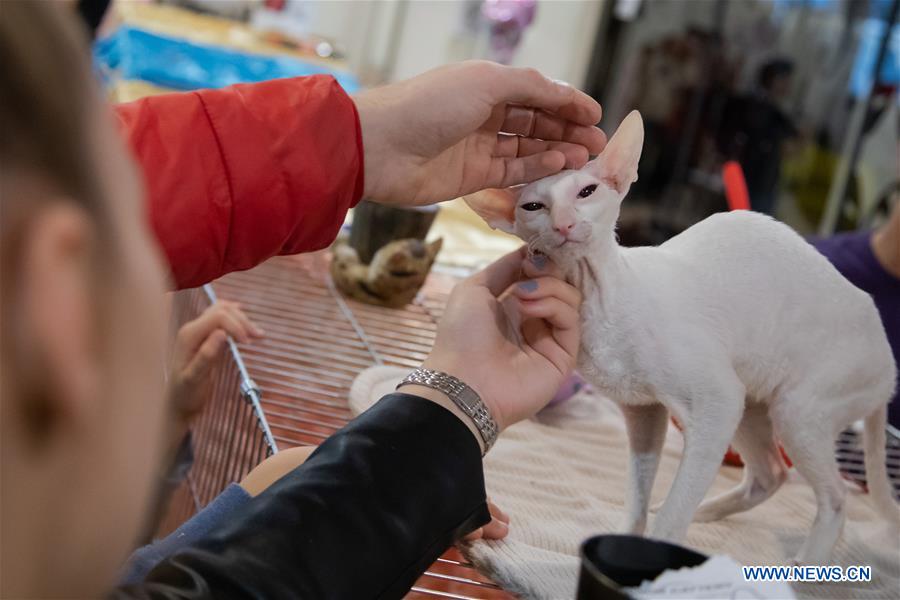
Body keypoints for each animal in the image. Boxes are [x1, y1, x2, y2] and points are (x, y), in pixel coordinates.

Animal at [468, 110, 896, 564]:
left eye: (587, 191)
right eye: (534, 206)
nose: (563, 223)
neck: (597, 299)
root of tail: (889, 368)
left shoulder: (716, 403)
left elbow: (676, 509)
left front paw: (655, 557)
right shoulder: (643, 411)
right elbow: (638, 497)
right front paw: (630, 538)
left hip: (795, 409)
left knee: (835, 497)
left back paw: (806, 564)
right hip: (754, 403)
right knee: (771, 473)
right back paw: (709, 512)